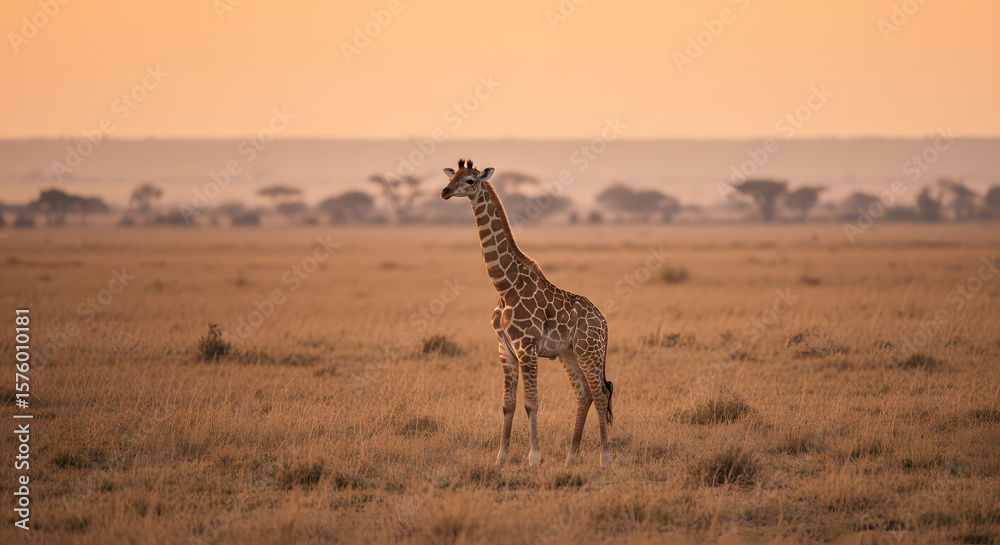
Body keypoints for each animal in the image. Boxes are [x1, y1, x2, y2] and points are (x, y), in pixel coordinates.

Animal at [440, 159, 614, 467]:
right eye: (453, 176)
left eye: (470, 180)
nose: (445, 191)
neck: (504, 285)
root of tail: (604, 323)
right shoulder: (505, 349)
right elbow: (507, 404)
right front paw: (501, 458)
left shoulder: (527, 347)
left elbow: (531, 402)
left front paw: (534, 457)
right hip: (569, 354)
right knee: (584, 395)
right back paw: (570, 459)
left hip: (589, 351)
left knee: (601, 393)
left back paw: (604, 459)